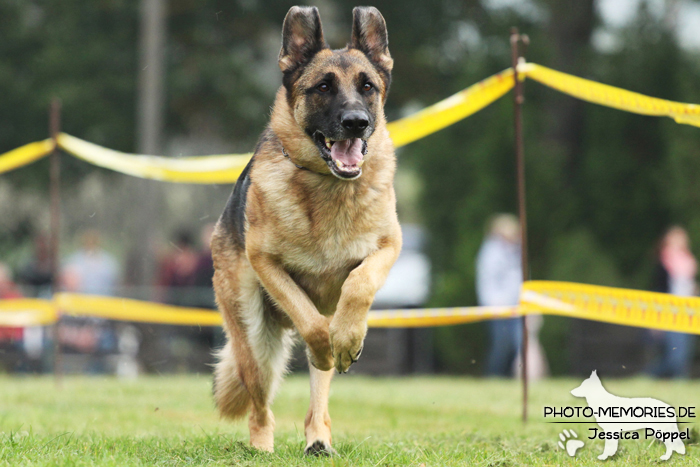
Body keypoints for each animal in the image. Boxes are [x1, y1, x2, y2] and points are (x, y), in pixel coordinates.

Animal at [209, 4, 400, 458]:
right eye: (323, 87)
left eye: (367, 86)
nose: (356, 122)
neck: (329, 187)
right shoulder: (267, 263)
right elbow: (311, 324)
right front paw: (330, 345)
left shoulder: (389, 246)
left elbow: (359, 285)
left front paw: (348, 340)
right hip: (253, 340)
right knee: (260, 406)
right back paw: (262, 444)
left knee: (319, 401)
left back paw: (319, 438)